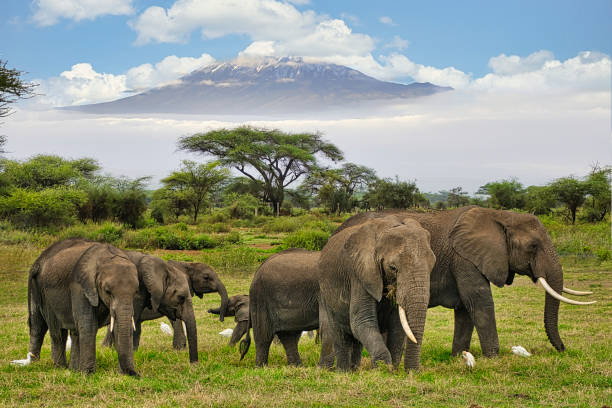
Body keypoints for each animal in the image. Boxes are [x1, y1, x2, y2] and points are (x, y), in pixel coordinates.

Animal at [26, 239, 140, 376]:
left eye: (135, 292)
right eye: (107, 291)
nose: (135, 374)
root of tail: (38, 260)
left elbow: (118, 325)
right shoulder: (80, 286)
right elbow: (88, 324)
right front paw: (88, 373)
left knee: (72, 331)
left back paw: (72, 369)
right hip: (42, 290)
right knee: (45, 328)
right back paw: (51, 366)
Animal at [320, 215, 436, 372]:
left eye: (432, 265)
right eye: (393, 268)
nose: (413, 372)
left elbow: (397, 326)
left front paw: (393, 370)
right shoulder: (359, 273)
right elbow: (362, 320)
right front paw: (383, 370)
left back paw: (354, 370)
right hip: (326, 293)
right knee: (340, 335)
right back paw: (343, 371)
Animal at [332, 207, 596, 356]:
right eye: (533, 246)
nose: (563, 350)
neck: (500, 216)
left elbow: (465, 309)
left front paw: (459, 356)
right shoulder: (465, 259)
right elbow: (479, 301)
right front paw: (493, 357)